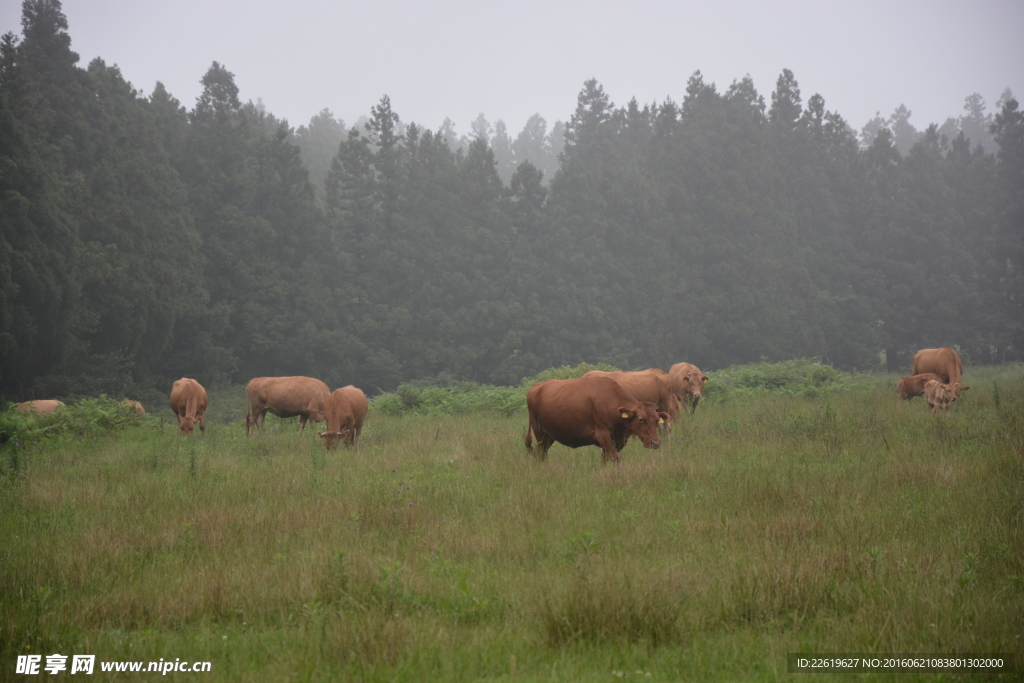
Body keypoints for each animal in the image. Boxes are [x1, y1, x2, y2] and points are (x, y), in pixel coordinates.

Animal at [524, 374, 667, 464]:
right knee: (541, 454)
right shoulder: (603, 436)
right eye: (641, 419)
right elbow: (615, 458)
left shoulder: (616, 441)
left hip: (549, 435)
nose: (655, 443)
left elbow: (605, 459)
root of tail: (536, 387)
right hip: (540, 432)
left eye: (656, 420)